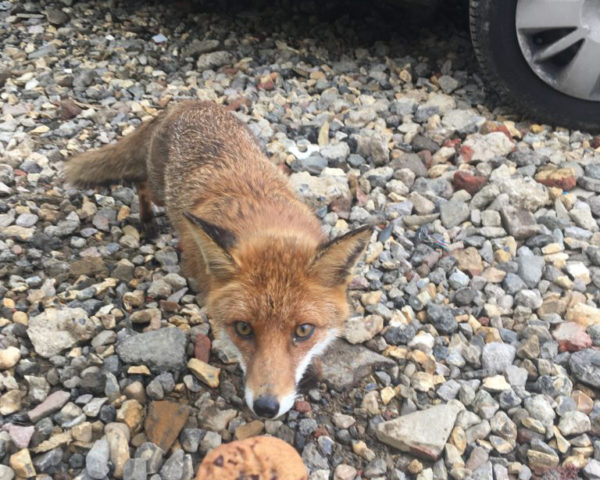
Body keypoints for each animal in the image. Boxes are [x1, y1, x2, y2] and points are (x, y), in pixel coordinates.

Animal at [67, 100, 376, 416]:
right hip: (159, 191)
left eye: (303, 330)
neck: (266, 220)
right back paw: (147, 220)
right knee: (141, 185)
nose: (266, 408)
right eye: (243, 328)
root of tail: (185, 103)